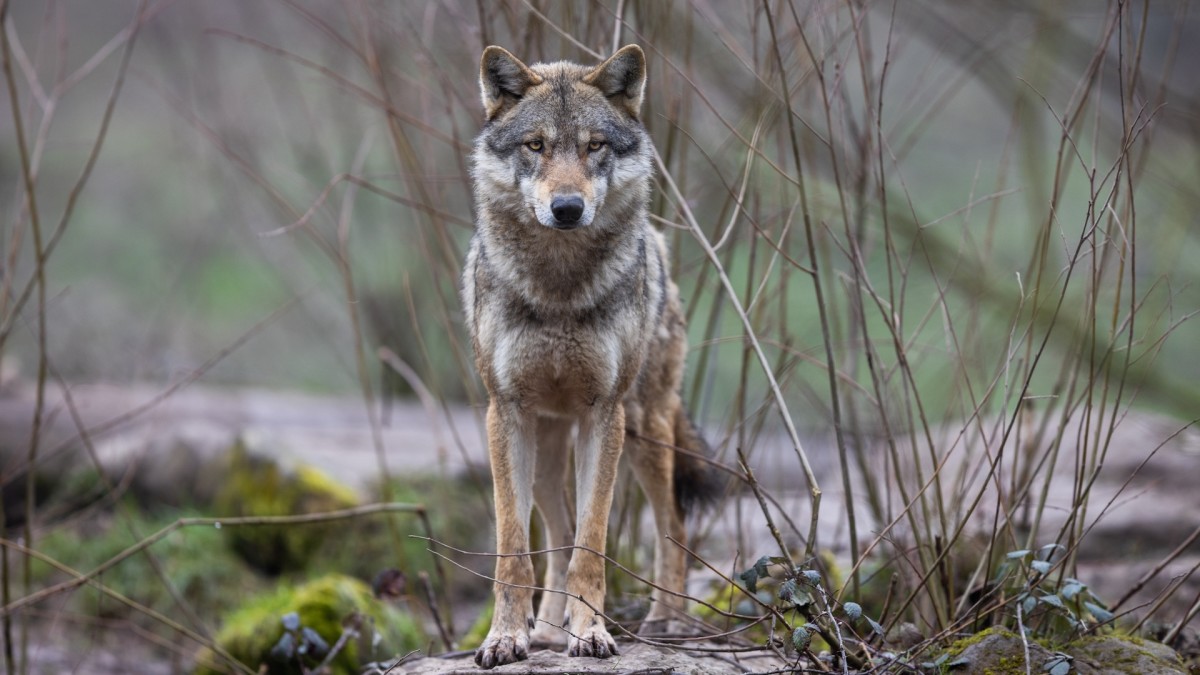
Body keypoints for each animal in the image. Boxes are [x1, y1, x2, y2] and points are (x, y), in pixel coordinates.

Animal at [463, 44, 715, 662]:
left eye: (594, 146)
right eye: (536, 146)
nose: (568, 208)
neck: (559, 288)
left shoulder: (606, 414)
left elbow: (592, 544)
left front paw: (593, 632)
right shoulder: (505, 413)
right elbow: (515, 550)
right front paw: (506, 638)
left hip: (646, 432)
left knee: (672, 524)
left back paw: (666, 622)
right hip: (547, 449)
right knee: (554, 534)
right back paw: (549, 631)